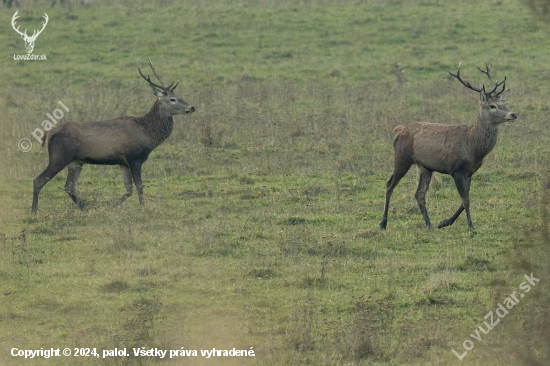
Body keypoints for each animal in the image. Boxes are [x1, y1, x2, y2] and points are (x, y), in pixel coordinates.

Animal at [31, 59, 196, 214]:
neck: (148, 134)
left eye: (178, 96)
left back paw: (86, 210)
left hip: (76, 162)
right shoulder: (134, 158)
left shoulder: (123, 162)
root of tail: (48, 133)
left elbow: (128, 190)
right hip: (59, 157)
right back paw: (34, 212)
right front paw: (143, 208)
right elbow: (139, 186)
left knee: (69, 187)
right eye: (172, 99)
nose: (192, 107)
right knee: (38, 180)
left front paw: (111, 207)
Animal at [382, 63, 520, 229]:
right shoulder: (456, 169)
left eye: (503, 104)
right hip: (402, 157)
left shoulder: (470, 172)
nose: (513, 114)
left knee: (419, 194)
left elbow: (465, 199)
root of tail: (399, 129)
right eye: (492, 106)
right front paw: (470, 226)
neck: (473, 148)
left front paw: (444, 222)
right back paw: (383, 224)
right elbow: (465, 200)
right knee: (389, 185)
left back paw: (429, 224)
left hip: (425, 166)